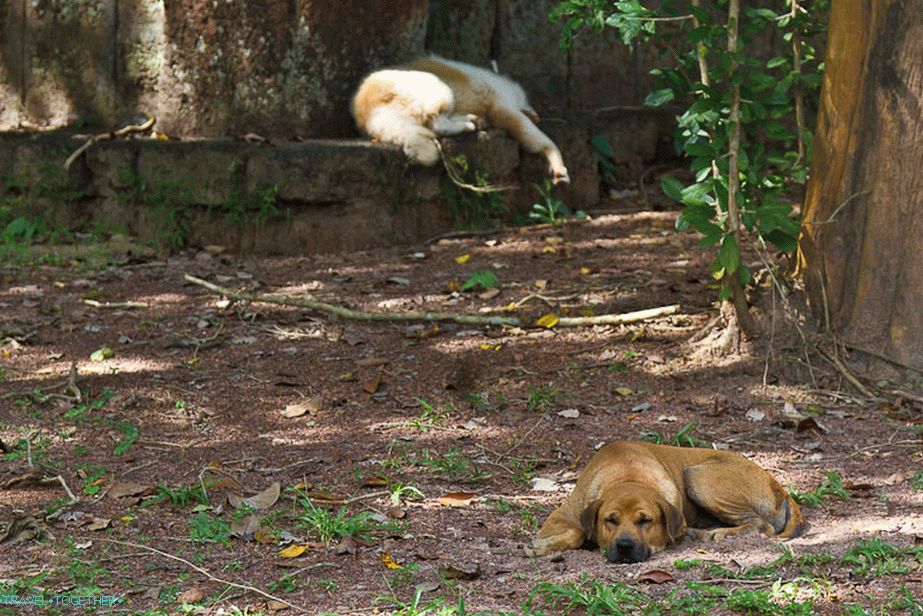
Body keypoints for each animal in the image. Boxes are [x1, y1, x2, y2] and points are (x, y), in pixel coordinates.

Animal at [352, 56, 572, 184]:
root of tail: (368, 109)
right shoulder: (505, 108)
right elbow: (544, 141)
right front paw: (558, 167)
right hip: (439, 89)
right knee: (438, 124)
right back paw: (468, 124)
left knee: (437, 126)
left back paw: (473, 121)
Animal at [532, 438, 804, 564]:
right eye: (610, 520)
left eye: (645, 521)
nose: (625, 546)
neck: (628, 474)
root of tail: (781, 488)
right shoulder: (561, 516)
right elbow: (577, 531)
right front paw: (544, 546)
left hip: (697, 476)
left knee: (761, 524)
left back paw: (720, 533)